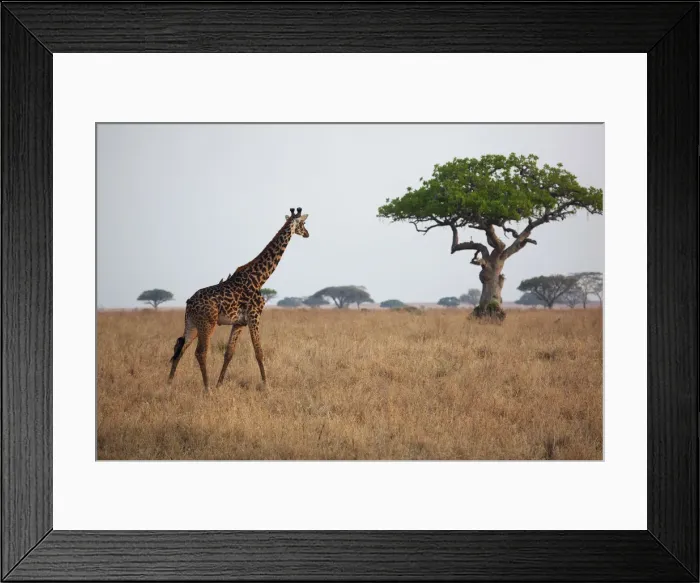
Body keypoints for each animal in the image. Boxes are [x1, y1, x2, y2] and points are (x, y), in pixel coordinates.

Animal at [168, 207, 310, 391]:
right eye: (303, 223)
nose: (307, 234)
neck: (260, 278)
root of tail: (189, 303)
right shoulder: (254, 316)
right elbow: (259, 352)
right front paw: (267, 386)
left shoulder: (239, 322)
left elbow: (229, 353)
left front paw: (219, 384)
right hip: (207, 324)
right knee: (200, 352)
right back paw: (206, 389)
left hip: (192, 324)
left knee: (180, 347)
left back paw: (168, 384)